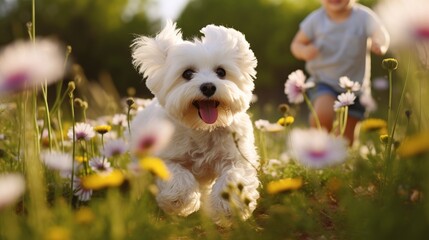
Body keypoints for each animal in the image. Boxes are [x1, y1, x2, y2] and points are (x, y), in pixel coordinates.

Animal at [130, 21, 258, 226]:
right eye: (187, 73)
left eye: (221, 72)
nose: (208, 86)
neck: (202, 128)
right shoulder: (164, 157)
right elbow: (178, 177)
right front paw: (181, 203)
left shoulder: (237, 156)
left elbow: (233, 176)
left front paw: (227, 207)